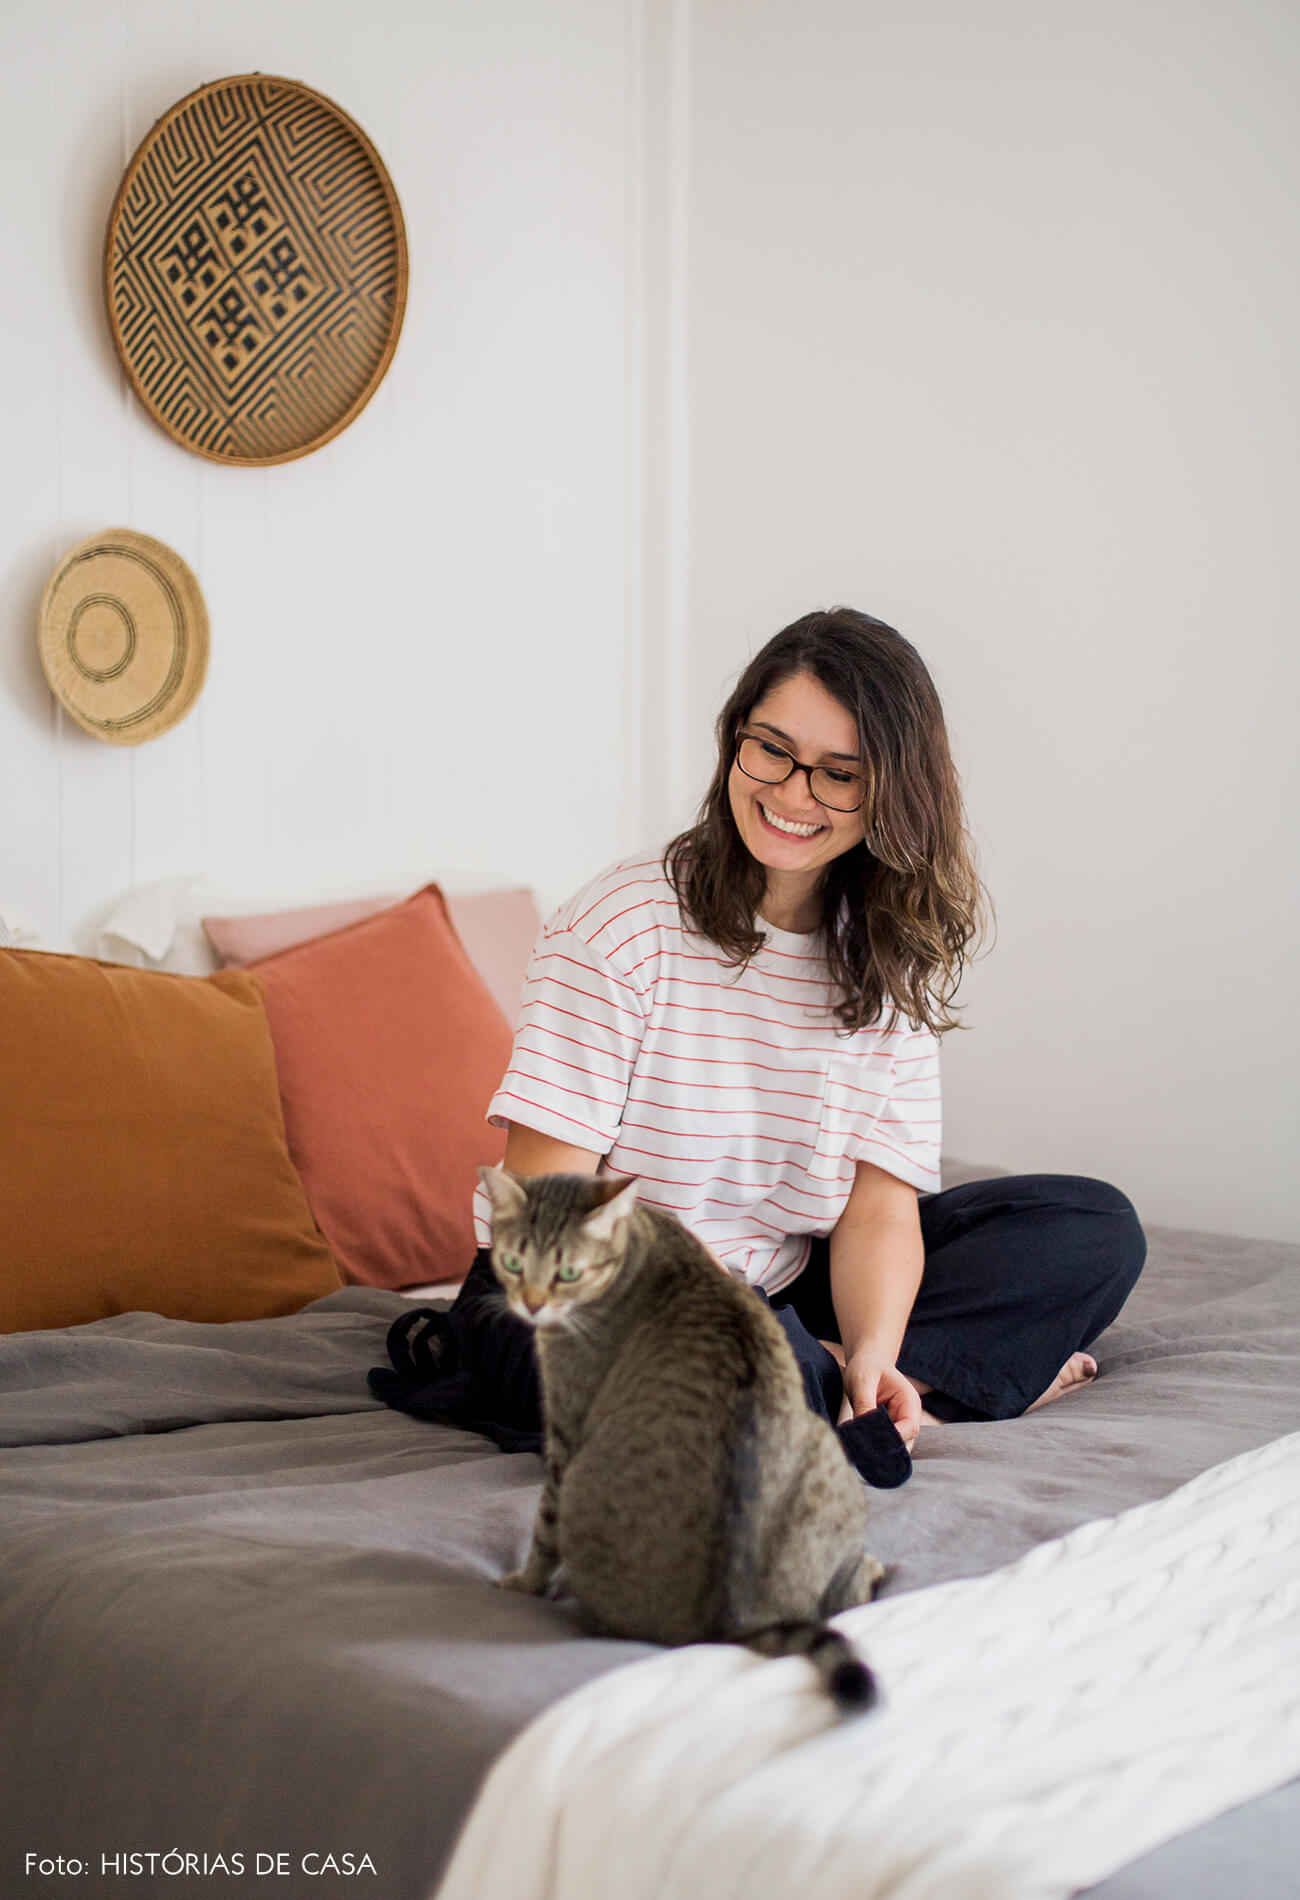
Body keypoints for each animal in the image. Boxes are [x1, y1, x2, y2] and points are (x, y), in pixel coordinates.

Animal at [477, 1162, 881, 1717]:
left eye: (568, 1274)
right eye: (513, 1262)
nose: (533, 1306)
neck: (637, 1241)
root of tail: (729, 1625)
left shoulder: (565, 1427)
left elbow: (543, 1530)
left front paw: (524, 1582)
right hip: (828, 1452)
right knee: (842, 1603)